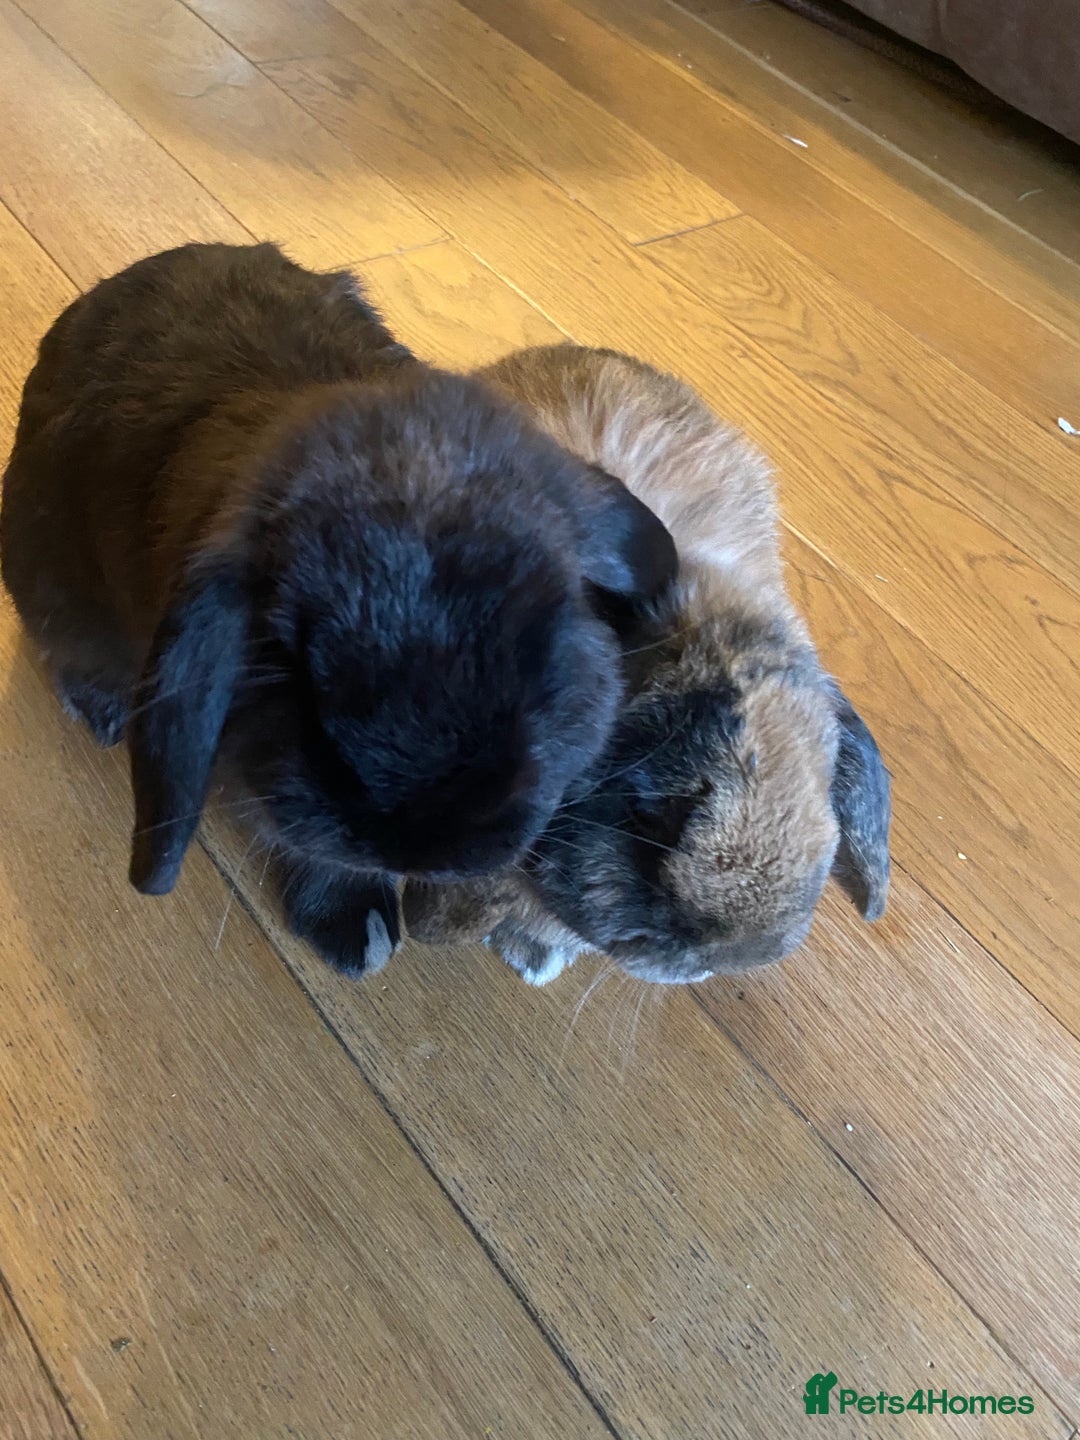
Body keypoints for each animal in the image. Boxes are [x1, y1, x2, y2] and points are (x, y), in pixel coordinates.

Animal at [0, 249, 677, 976]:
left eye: (545, 647)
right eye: (298, 674)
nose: (428, 848)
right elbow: (307, 844)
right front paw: (356, 927)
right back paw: (102, 709)